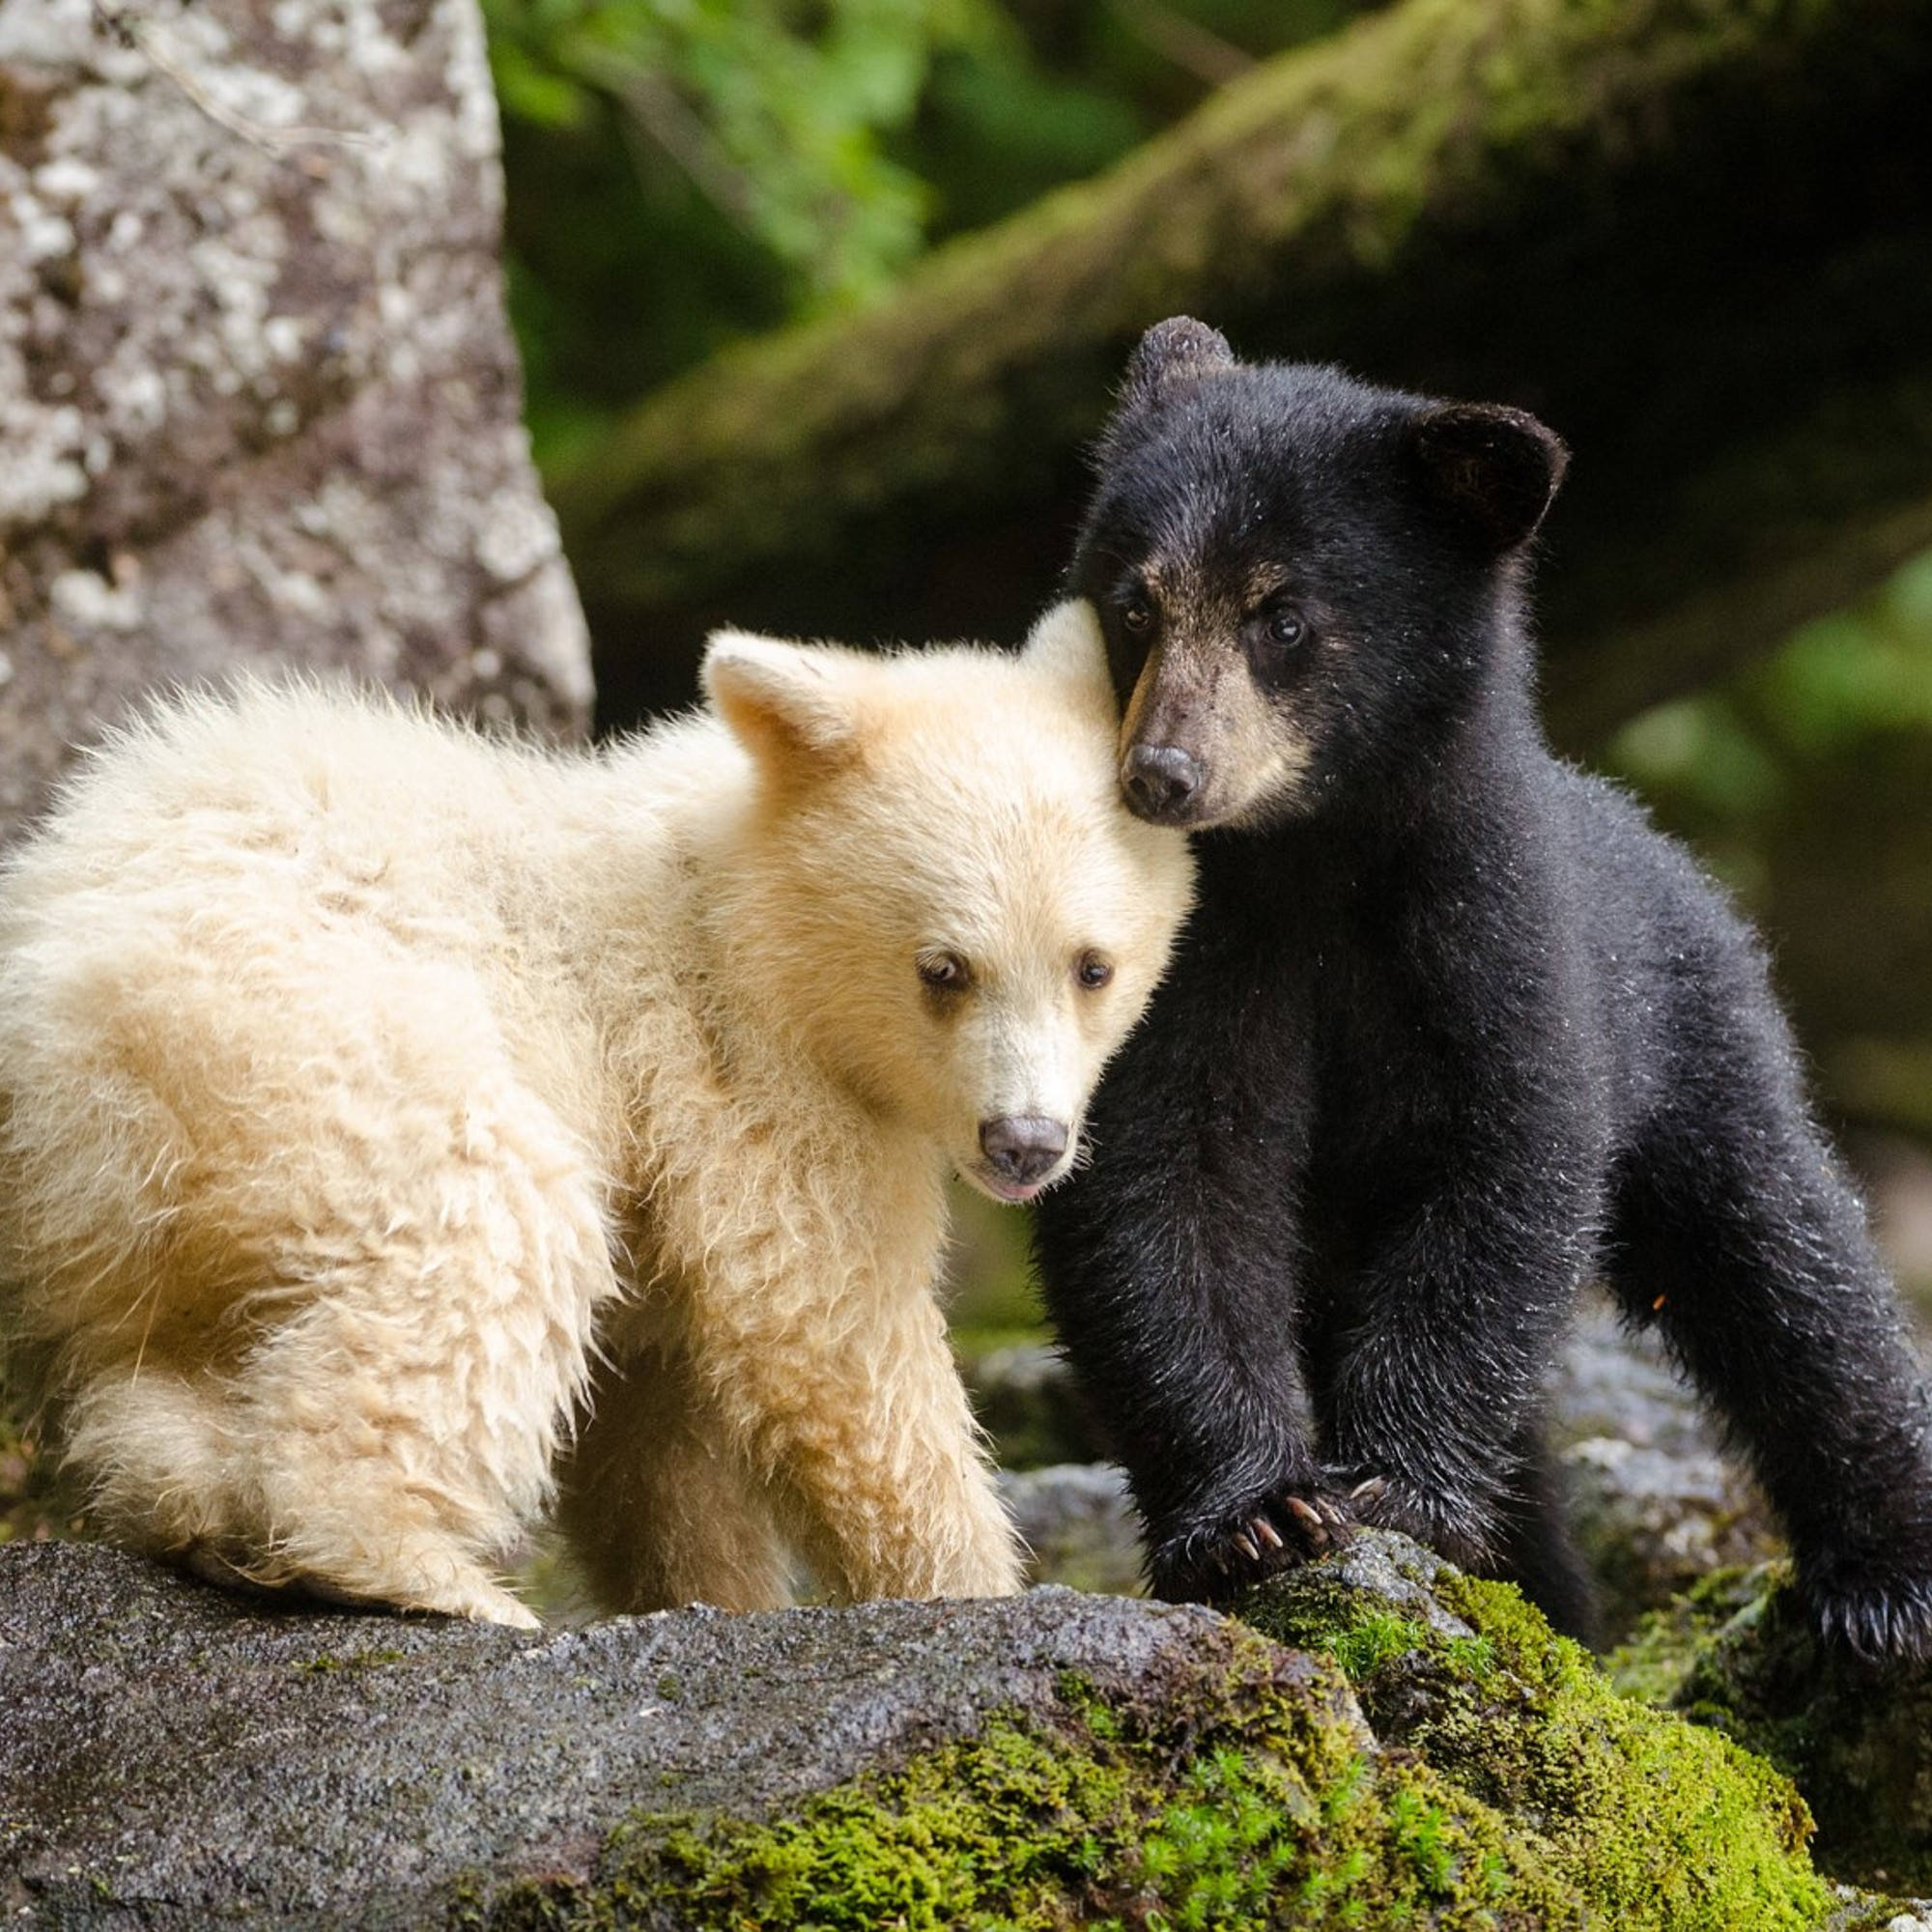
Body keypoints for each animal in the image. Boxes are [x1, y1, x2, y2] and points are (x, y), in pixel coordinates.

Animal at [0, 603, 1182, 1631]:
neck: (740, 904)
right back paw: (418, 1569)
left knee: (158, 1361)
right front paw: (971, 1586)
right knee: (489, 1221)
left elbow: (656, 1435)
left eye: (1092, 965)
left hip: (141, 1209)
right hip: (301, 1034)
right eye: (943, 968)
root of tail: (56, 1038)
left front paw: (712, 1592)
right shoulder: (742, 1069)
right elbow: (827, 1329)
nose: (1024, 1143)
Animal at [1036, 317, 1932, 1662]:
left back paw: (1880, 1578)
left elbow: (1504, 1160)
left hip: (1698, 1035)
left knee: (1786, 1264)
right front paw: (1253, 1515)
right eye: (1134, 601)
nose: (1161, 773)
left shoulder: (1496, 933)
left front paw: (1394, 1487)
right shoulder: (1174, 964)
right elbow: (1158, 1184)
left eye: (1281, 617)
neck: (1308, 859)